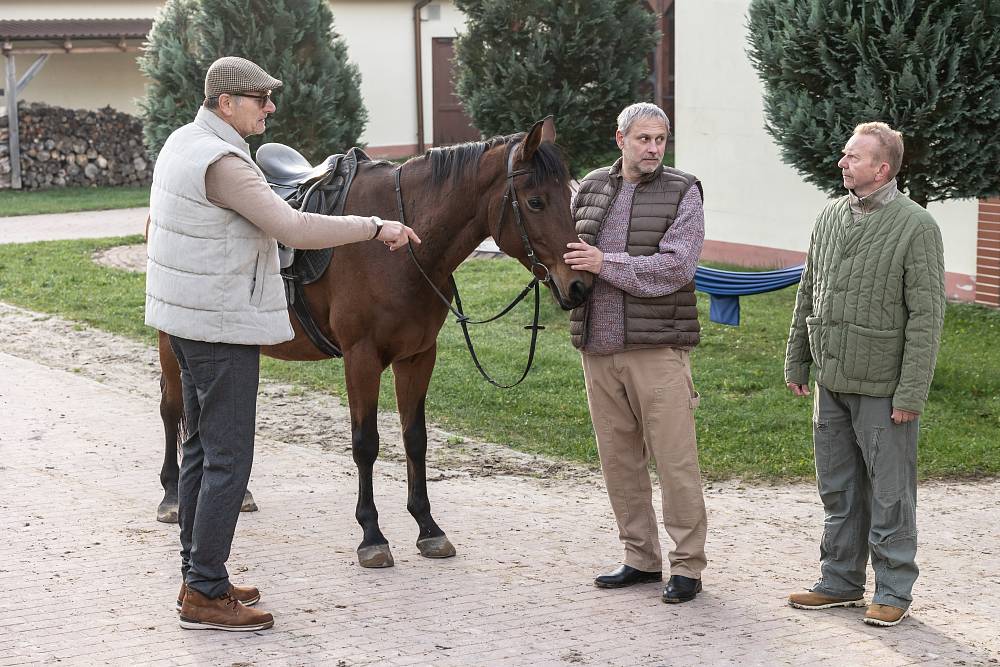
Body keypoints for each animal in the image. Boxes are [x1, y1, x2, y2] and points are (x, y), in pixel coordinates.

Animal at [155, 117, 588, 568]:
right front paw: (372, 535)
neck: (404, 252)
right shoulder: (360, 358)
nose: (579, 286)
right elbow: (366, 443)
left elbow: (415, 438)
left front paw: (428, 528)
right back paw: (171, 497)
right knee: (171, 408)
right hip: (172, 341)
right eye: (536, 202)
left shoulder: (418, 356)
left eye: (570, 196)